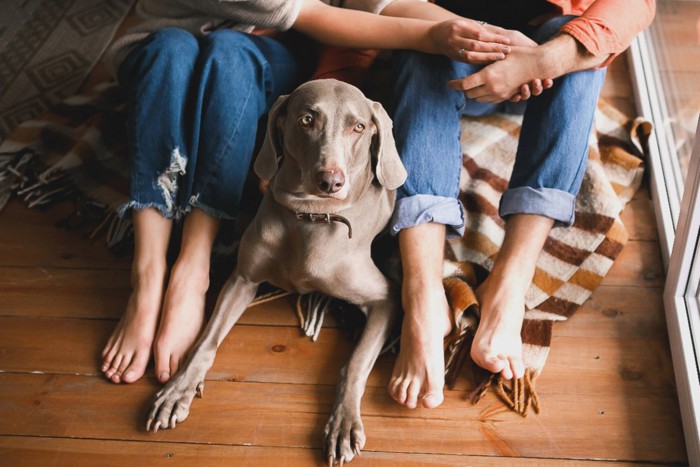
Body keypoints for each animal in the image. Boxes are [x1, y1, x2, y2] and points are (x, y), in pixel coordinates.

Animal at [148, 78, 410, 466]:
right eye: (307, 120)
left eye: (359, 127)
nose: (330, 181)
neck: (310, 219)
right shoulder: (243, 280)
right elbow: (205, 342)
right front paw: (178, 388)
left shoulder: (385, 299)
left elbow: (355, 363)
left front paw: (344, 423)